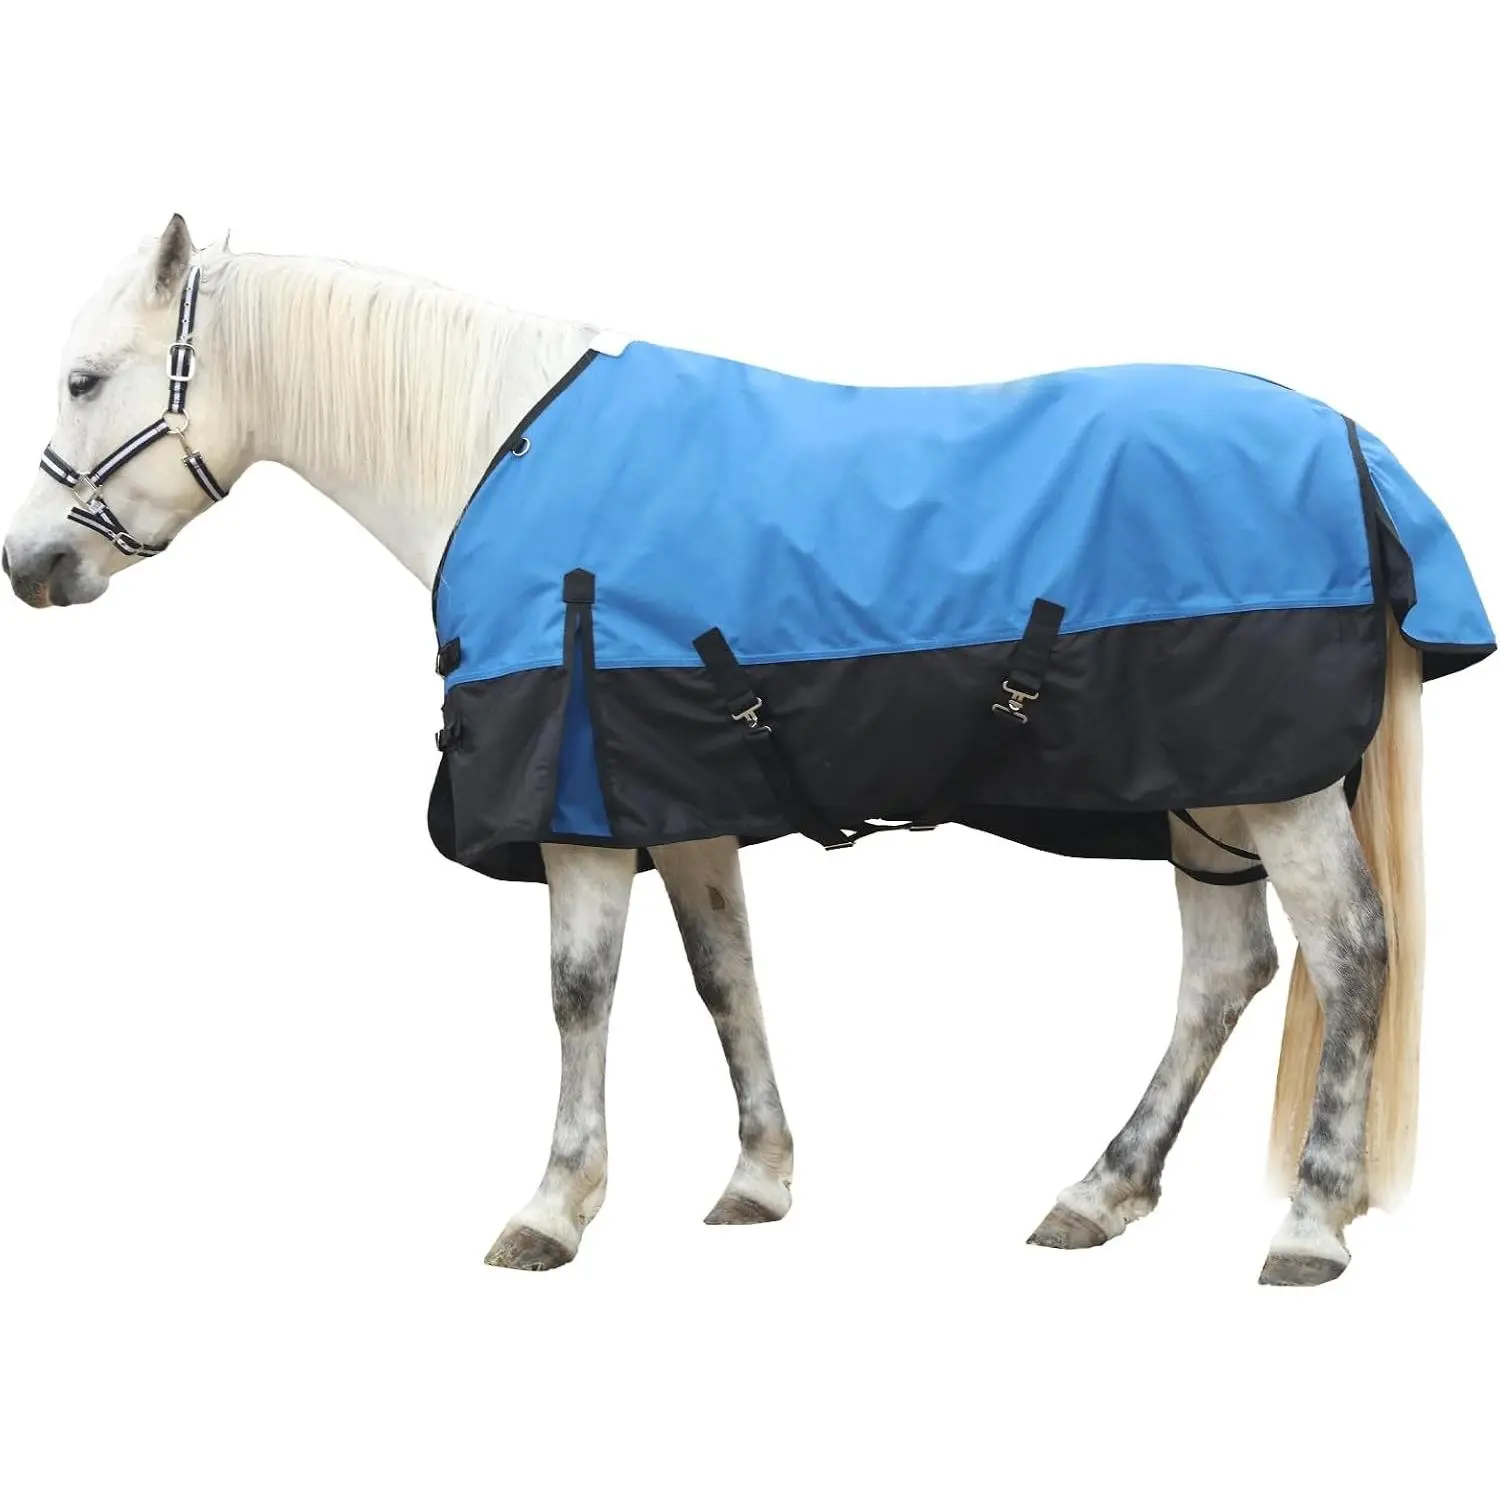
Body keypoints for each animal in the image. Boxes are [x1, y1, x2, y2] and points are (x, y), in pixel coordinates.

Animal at [5, 216, 1485, 1286]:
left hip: (1273, 790)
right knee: (1226, 973)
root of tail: (1357, 451)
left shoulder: (581, 803)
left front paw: (553, 1205)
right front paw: (758, 1180)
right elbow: (725, 978)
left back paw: (1307, 1225)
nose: (29, 567)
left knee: (1353, 955)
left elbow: (579, 993)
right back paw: (1100, 1191)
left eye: (83, 379)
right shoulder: (679, 798)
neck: (496, 445)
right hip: (1203, 795)